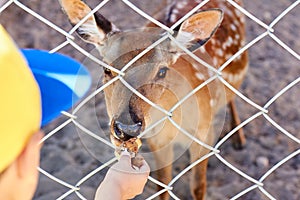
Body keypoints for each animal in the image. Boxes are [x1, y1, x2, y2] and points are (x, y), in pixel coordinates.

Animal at [59, 0, 248, 200]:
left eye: (162, 71)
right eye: (107, 69)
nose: (127, 128)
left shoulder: (204, 131)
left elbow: (198, 186)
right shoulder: (158, 140)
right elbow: (163, 185)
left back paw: (239, 139)